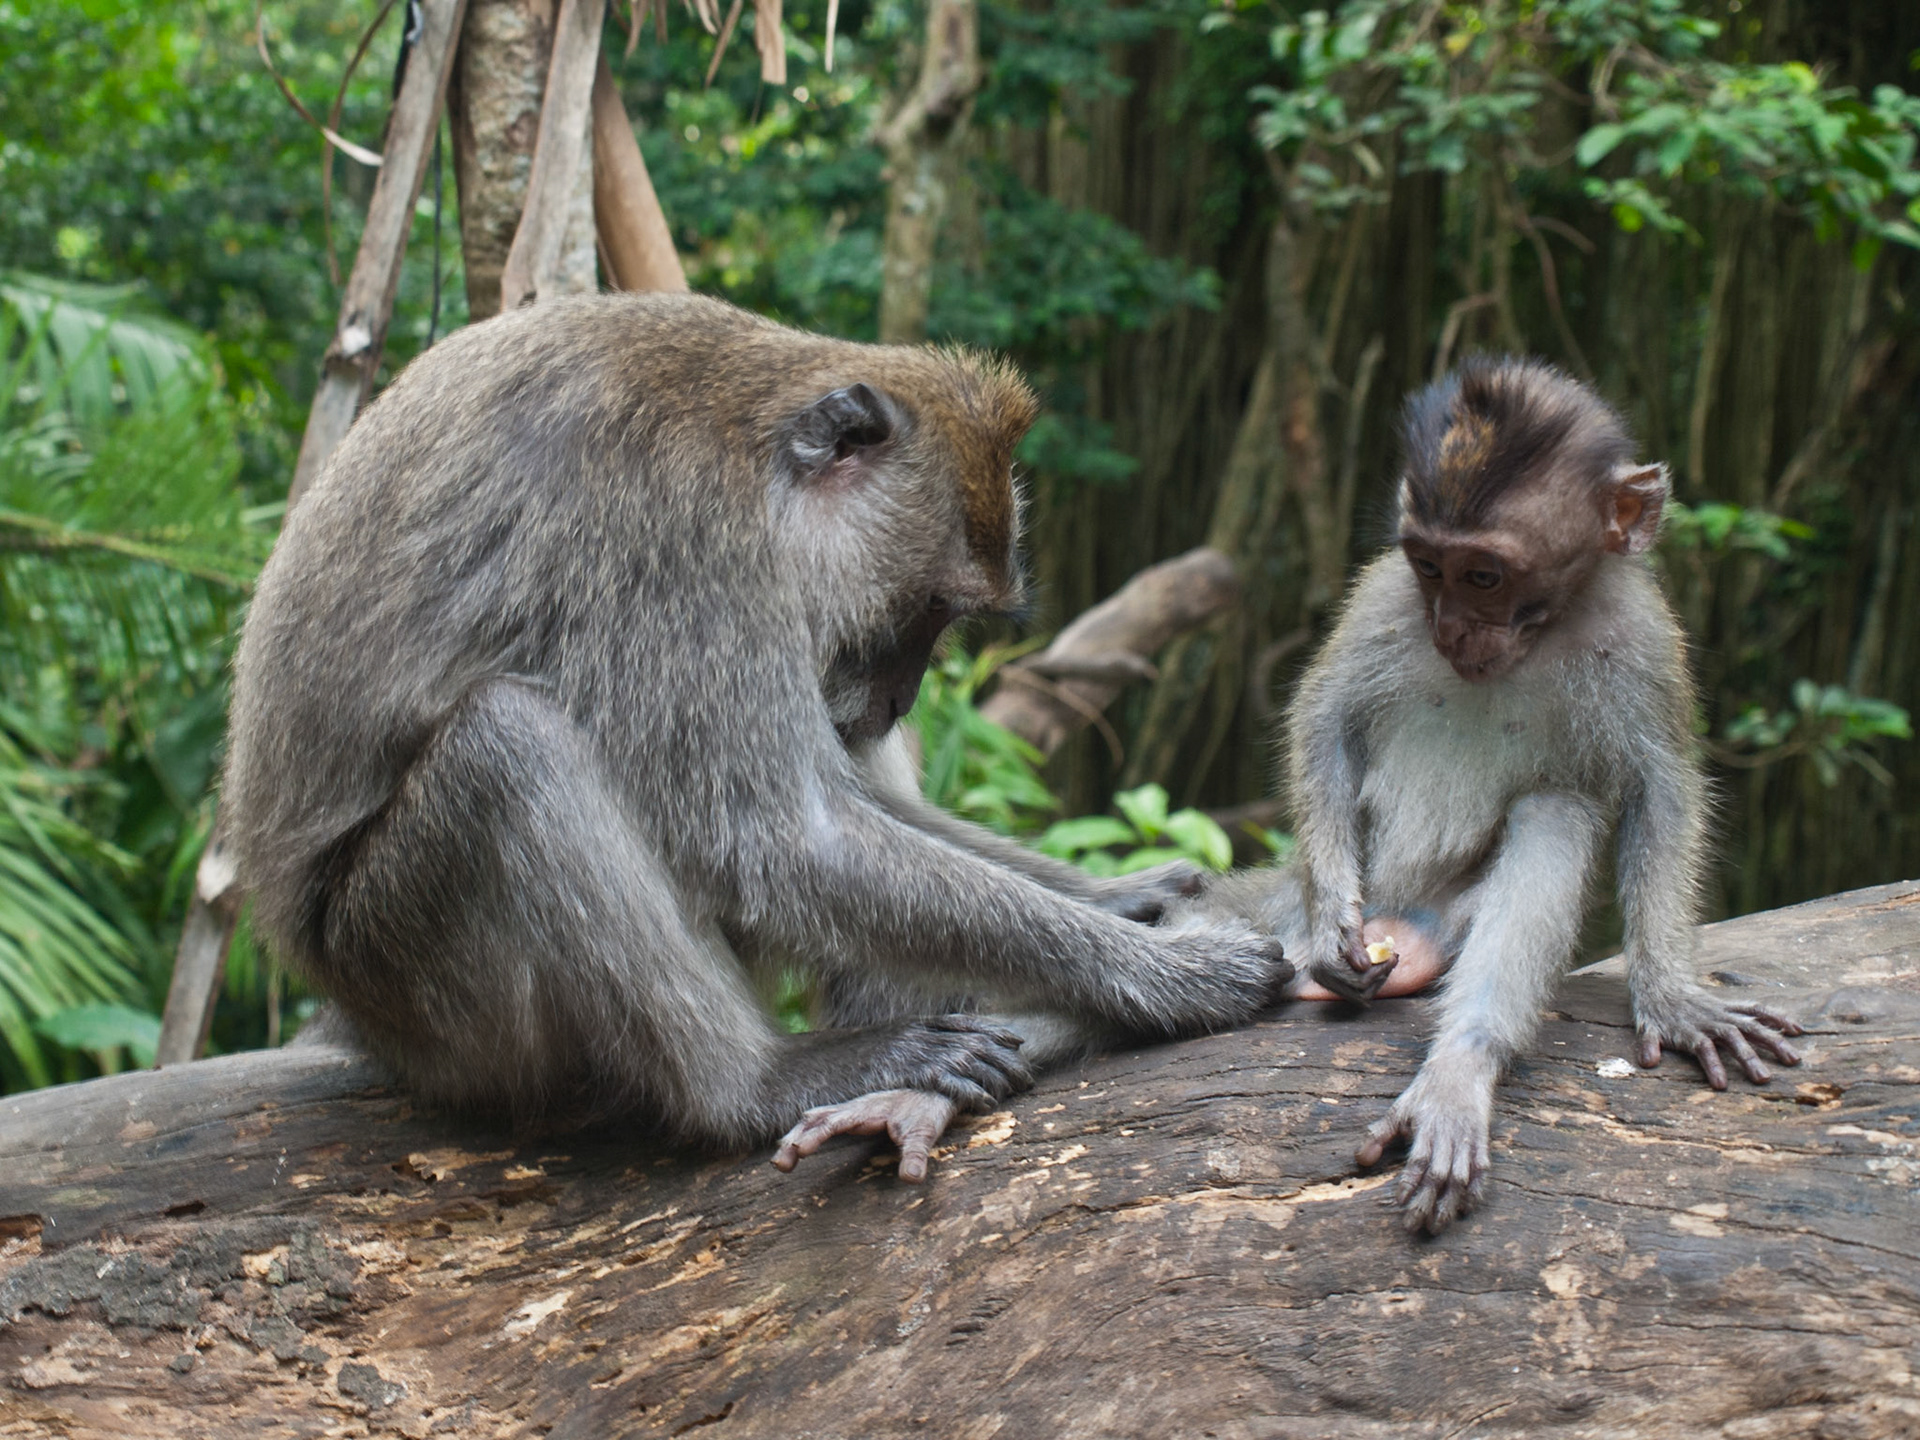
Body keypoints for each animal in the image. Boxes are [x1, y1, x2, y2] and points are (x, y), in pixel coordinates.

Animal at [222, 291, 1292, 1182]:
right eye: (928, 611)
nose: (900, 698)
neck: (754, 444)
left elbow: (847, 804)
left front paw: (1120, 895)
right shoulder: (682, 549)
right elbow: (784, 838)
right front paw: (1165, 975)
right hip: (420, 987)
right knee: (508, 747)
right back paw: (760, 1083)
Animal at [1188, 355, 1802, 1232]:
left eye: (1485, 575)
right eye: (1428, 566)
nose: (1450, 624)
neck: (1538, 633)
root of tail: (1400, 921)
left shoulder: (1645, 637)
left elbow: (1661, 792)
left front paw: (1673, 996)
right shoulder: (1383, 596)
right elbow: (1324, 720)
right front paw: (1335, 915)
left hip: (1451, 923)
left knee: (1555, 813)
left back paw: (1459, 1070)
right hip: (1281, 913)